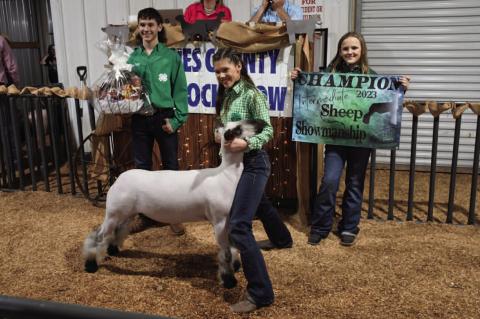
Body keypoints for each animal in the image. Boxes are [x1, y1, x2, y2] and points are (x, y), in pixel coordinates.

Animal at [81, 120, 264, 290]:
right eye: (238, 129)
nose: (261, 124)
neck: (225, 175)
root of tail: (118, 178)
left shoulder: (229, 218)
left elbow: (233, 247)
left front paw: (236, 266)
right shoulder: (219, 220)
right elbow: (225, 253)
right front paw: (229, 280)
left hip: (126, 213)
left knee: (117, 231)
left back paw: (113, 251)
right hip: (114, 212)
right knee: (98, 236)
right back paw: (90, 265)